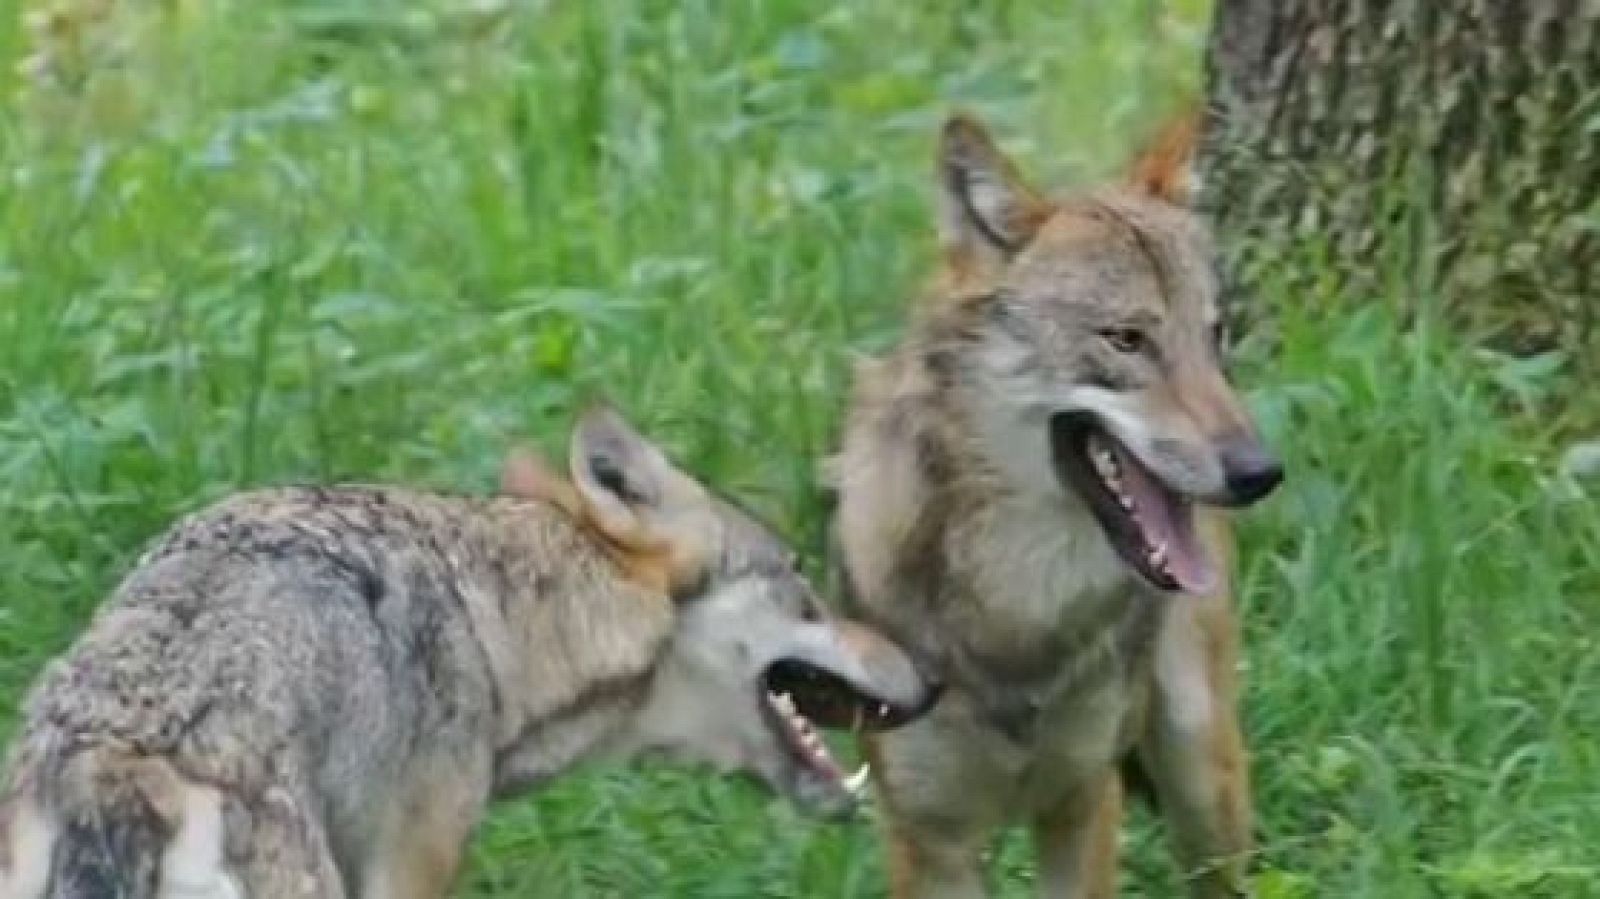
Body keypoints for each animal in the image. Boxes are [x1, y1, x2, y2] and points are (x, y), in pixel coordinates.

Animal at [830, 112, 1283, 898]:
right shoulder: (927, 840)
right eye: (1126, 339)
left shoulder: (1083, 800)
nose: (1259, 472)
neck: (1019, 612)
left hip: (1204, 778)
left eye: (1214, 335)